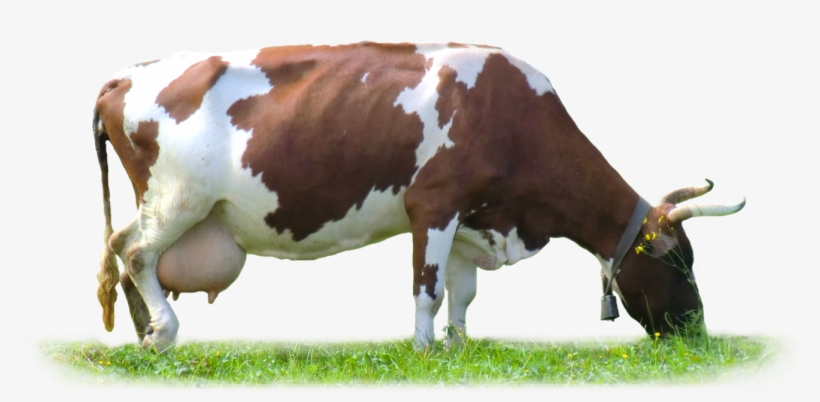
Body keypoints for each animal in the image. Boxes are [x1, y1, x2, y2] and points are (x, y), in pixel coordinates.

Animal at [93, 42, 745, 351]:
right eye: (679, 262)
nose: (697, 328)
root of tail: (128, 73)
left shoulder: (472, 217)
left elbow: (463, 291)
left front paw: (459, 344)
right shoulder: (432, 204)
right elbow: (427, 290)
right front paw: (426, 348)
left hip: (171, 204)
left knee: (123, 255)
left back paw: (145, 336)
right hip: (178, 199)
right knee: (136, 253)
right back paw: (165, 331)